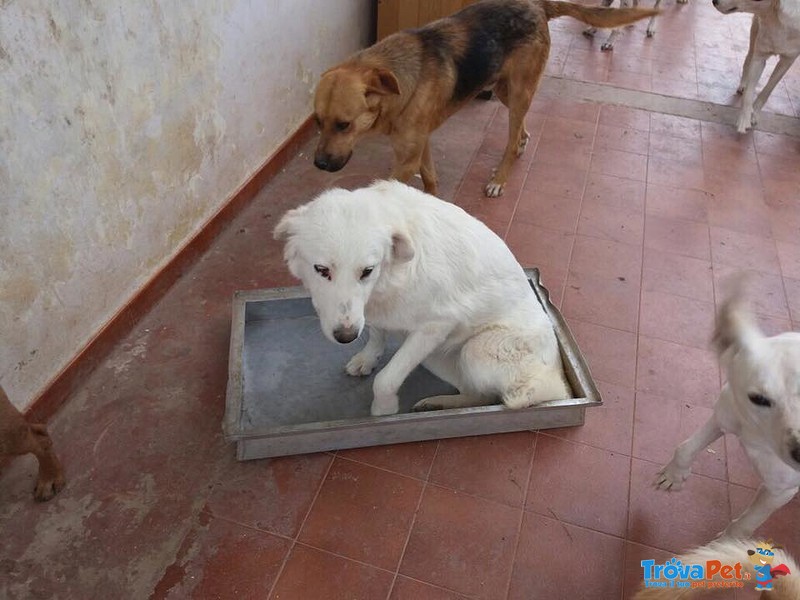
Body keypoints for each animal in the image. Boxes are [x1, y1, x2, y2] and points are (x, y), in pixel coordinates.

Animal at [274, 182, 568, 418]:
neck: (392, 275)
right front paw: (367, 359)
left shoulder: (434, 327)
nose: (346, 337)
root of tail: (556, 381)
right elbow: (376, 335)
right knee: (480, 394)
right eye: (321, 270)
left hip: (474, 350)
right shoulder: (374, 314)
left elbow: (386, 379)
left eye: (367, 270)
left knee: (495, 394)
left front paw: (383, 410)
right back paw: (439, 403)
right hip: (436, 357)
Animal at [312, 0, 656, 197]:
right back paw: (522, 142)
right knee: (521, 129)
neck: (401, 85)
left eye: (344, 125)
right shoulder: (420, 144)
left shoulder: (407, 157)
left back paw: (500, 179)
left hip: (517, 92)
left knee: (511, 138)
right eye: (317, 121)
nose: (318, 164)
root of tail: (536, 5)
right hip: (505, 90)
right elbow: (431, 179)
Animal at [656, 278, 800, 540]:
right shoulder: (723, 416)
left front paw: (726, 544)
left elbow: (744, 524)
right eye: (758, 399)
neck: (758, 435)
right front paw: (674, 476)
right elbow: (685, 448)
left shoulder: (780, 490)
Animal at [716, 0, 800, 132]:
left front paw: (754, 113)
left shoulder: (787, 61)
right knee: (747, 60)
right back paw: (742, 85)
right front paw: (744, 119)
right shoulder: (759, 57)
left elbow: (767, 91)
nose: (714, 2)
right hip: (754, 34)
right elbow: (749, 94)